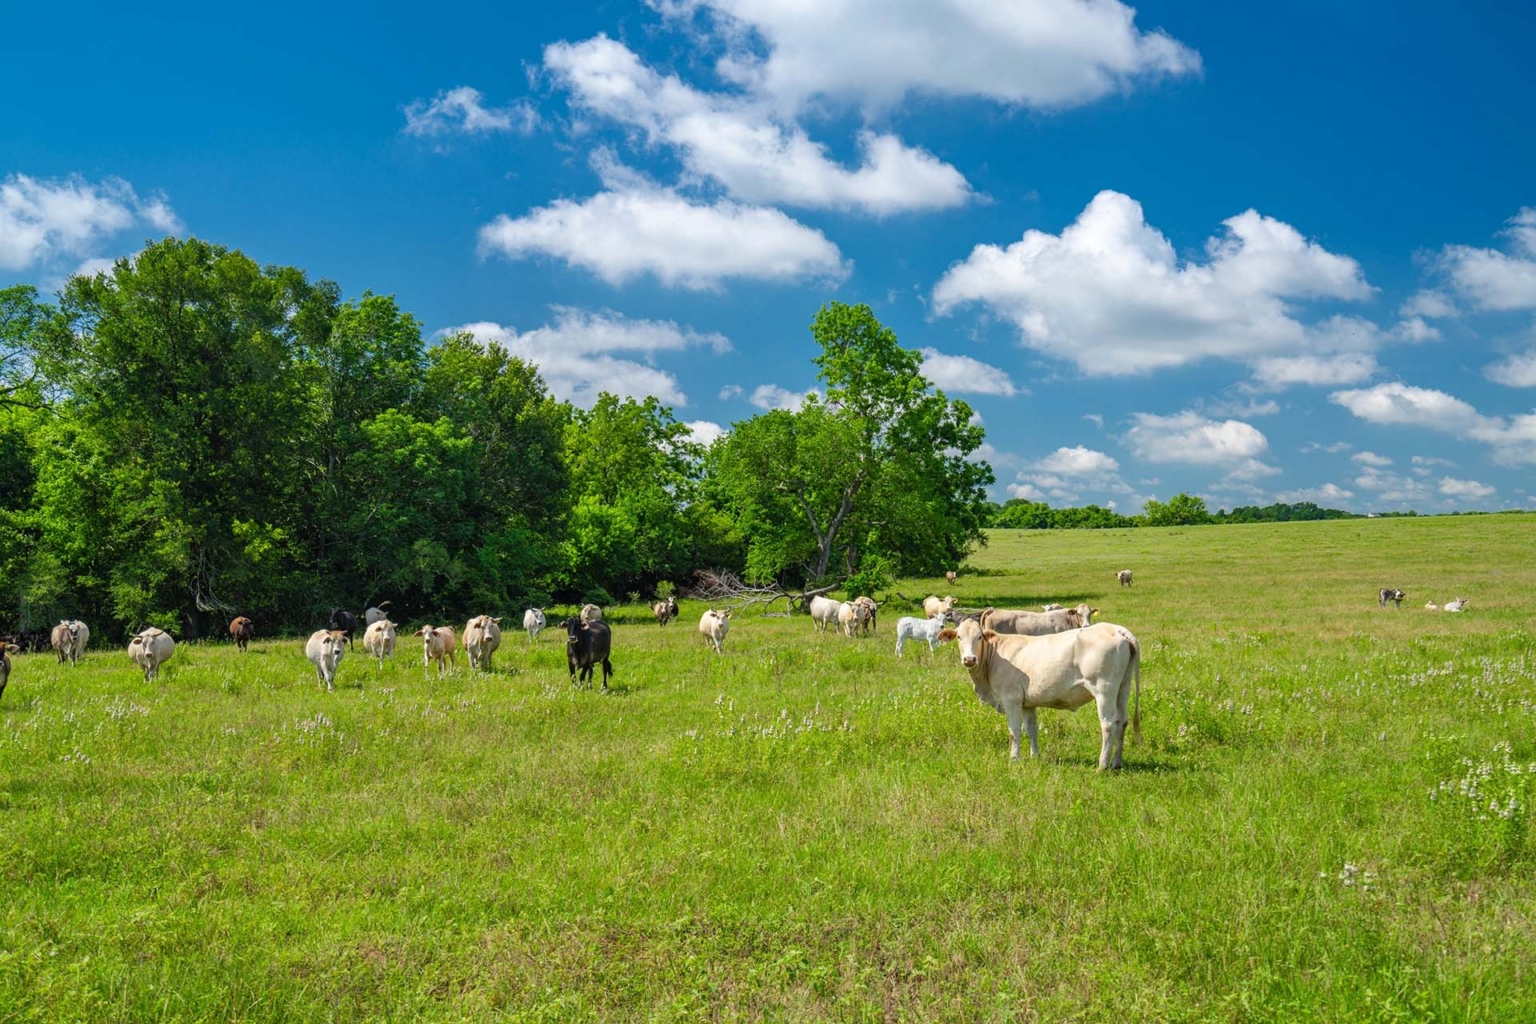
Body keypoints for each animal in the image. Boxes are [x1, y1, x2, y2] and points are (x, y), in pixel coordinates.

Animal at [933, 617, 1142, 767]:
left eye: (979, 637)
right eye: (959, 637)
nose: (969, 659)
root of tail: (1116, 629)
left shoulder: (1011, 699)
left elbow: (1014, 731)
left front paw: (1014, 759)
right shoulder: (1028, 703)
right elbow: (1031, 729)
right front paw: (1035, 756)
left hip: (1104, 689)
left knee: (1108, 724)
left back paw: (1102, 765)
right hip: (1123, 688)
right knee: (1122, 721)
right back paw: (1117, 763)